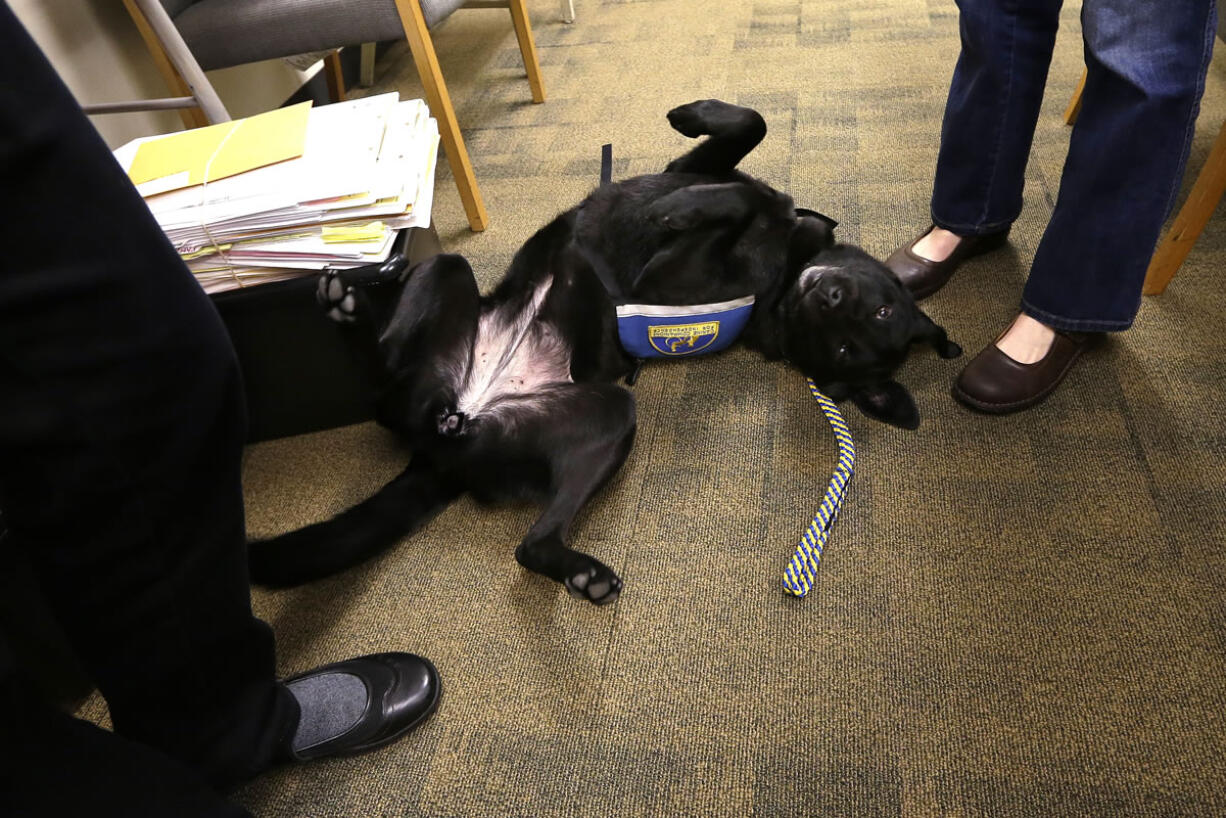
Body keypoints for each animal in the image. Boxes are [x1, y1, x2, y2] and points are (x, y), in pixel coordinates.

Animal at [246, 99, 956, 605]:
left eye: (847, 343)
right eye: (879, 309)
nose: (829, 295)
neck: (786, 273)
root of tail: (452, 431)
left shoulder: (672, 275)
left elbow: (729, 200)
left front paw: (687, 209)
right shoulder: (700, 168)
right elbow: (748, 130)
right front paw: (692, 118)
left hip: (607, 416)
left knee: (522, 535)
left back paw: (579, 573)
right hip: (448, 277)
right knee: (395, 370)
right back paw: (350, 309)